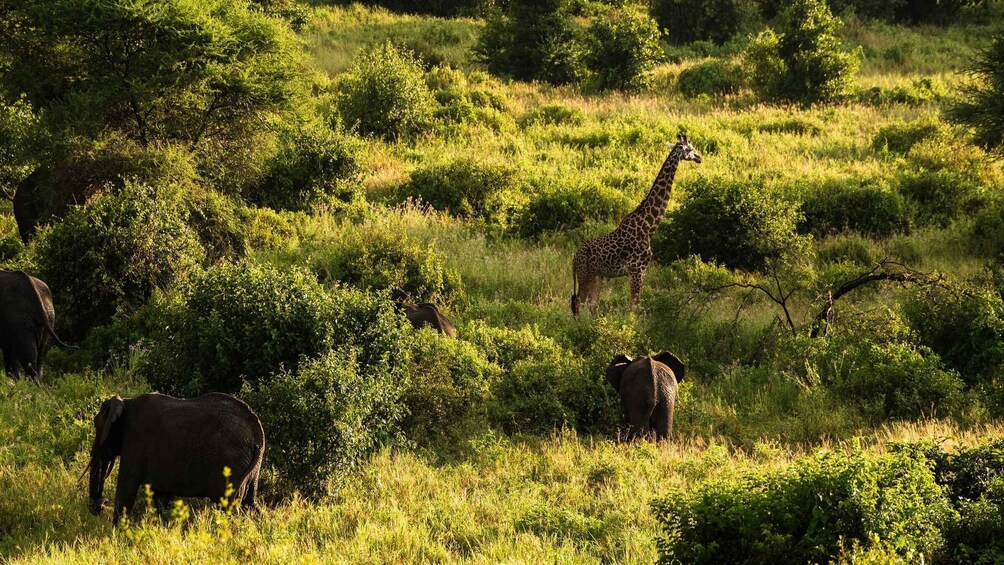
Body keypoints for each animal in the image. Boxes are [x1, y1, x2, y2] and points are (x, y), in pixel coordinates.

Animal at [86, 391, 267, 525]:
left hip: (230, 464)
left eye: (96, 424)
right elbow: (161, 497)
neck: (126, 402)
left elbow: (127, 489)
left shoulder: (135, 441)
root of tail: (258, 437)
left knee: (229, 507)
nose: (100, 504)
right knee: (250, 504)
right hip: (249, 468)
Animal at [570, 133, 702, 319]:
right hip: (585, 274)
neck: (648, 225)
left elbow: (635, 305)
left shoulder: (642, 270)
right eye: (690, 148)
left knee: (591, 303)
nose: (699, 158)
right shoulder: (636, 270)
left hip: (598, 275)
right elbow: (634, 306)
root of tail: (574, 258)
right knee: (578, 301)